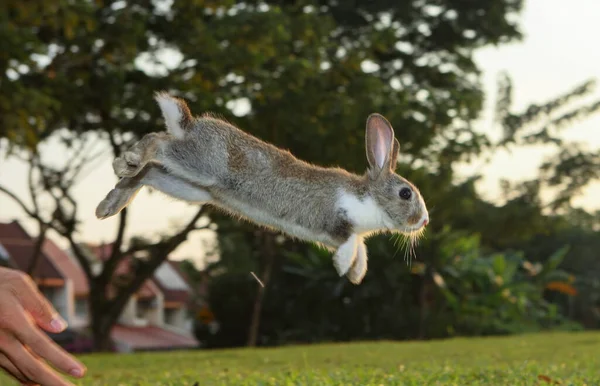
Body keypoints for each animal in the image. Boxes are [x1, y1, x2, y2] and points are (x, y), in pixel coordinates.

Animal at [96, 92, 428, 284]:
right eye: (405, 193)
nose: (424, 221)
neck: (369, 197)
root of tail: (190, 125)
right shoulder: (335, 218)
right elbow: (351, 241)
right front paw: (343, 265)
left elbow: (360, 245)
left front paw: (357, 274)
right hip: (201, 165)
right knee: (157, 142)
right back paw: (126, 162)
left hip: (194, 186)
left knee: (149, 174)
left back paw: (109, 203)